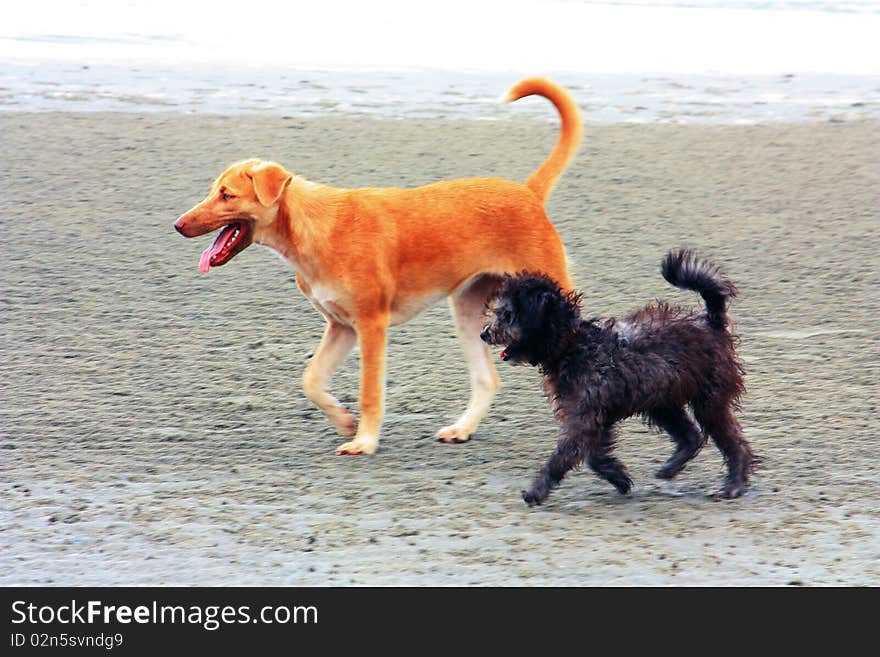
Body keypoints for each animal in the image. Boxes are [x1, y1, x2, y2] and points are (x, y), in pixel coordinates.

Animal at [174, 77, 580, 454]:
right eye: (213, 191)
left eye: (227, 195)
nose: (177, 224)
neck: (316, 228)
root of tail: (528, 193)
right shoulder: (341, 327)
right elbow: (311, 380)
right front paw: (343, 421)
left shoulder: (371, 325)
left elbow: (369, 392)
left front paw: (364, 441)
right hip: (469, 314)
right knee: (487, 380)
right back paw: (461, 429)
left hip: (553, 299)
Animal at [482, 249, 756, 504]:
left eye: (507, 315)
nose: (485, 333)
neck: (571, 344)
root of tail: (710, 321)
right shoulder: (595, 415)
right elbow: (594, 457)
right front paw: (619, 478)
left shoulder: (584, 417)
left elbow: (564, 455)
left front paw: (536, 491)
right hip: (662, 402)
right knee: (691, 436)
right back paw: (670, 469)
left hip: (709, 401)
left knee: (734, 443)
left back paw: (734, 485)